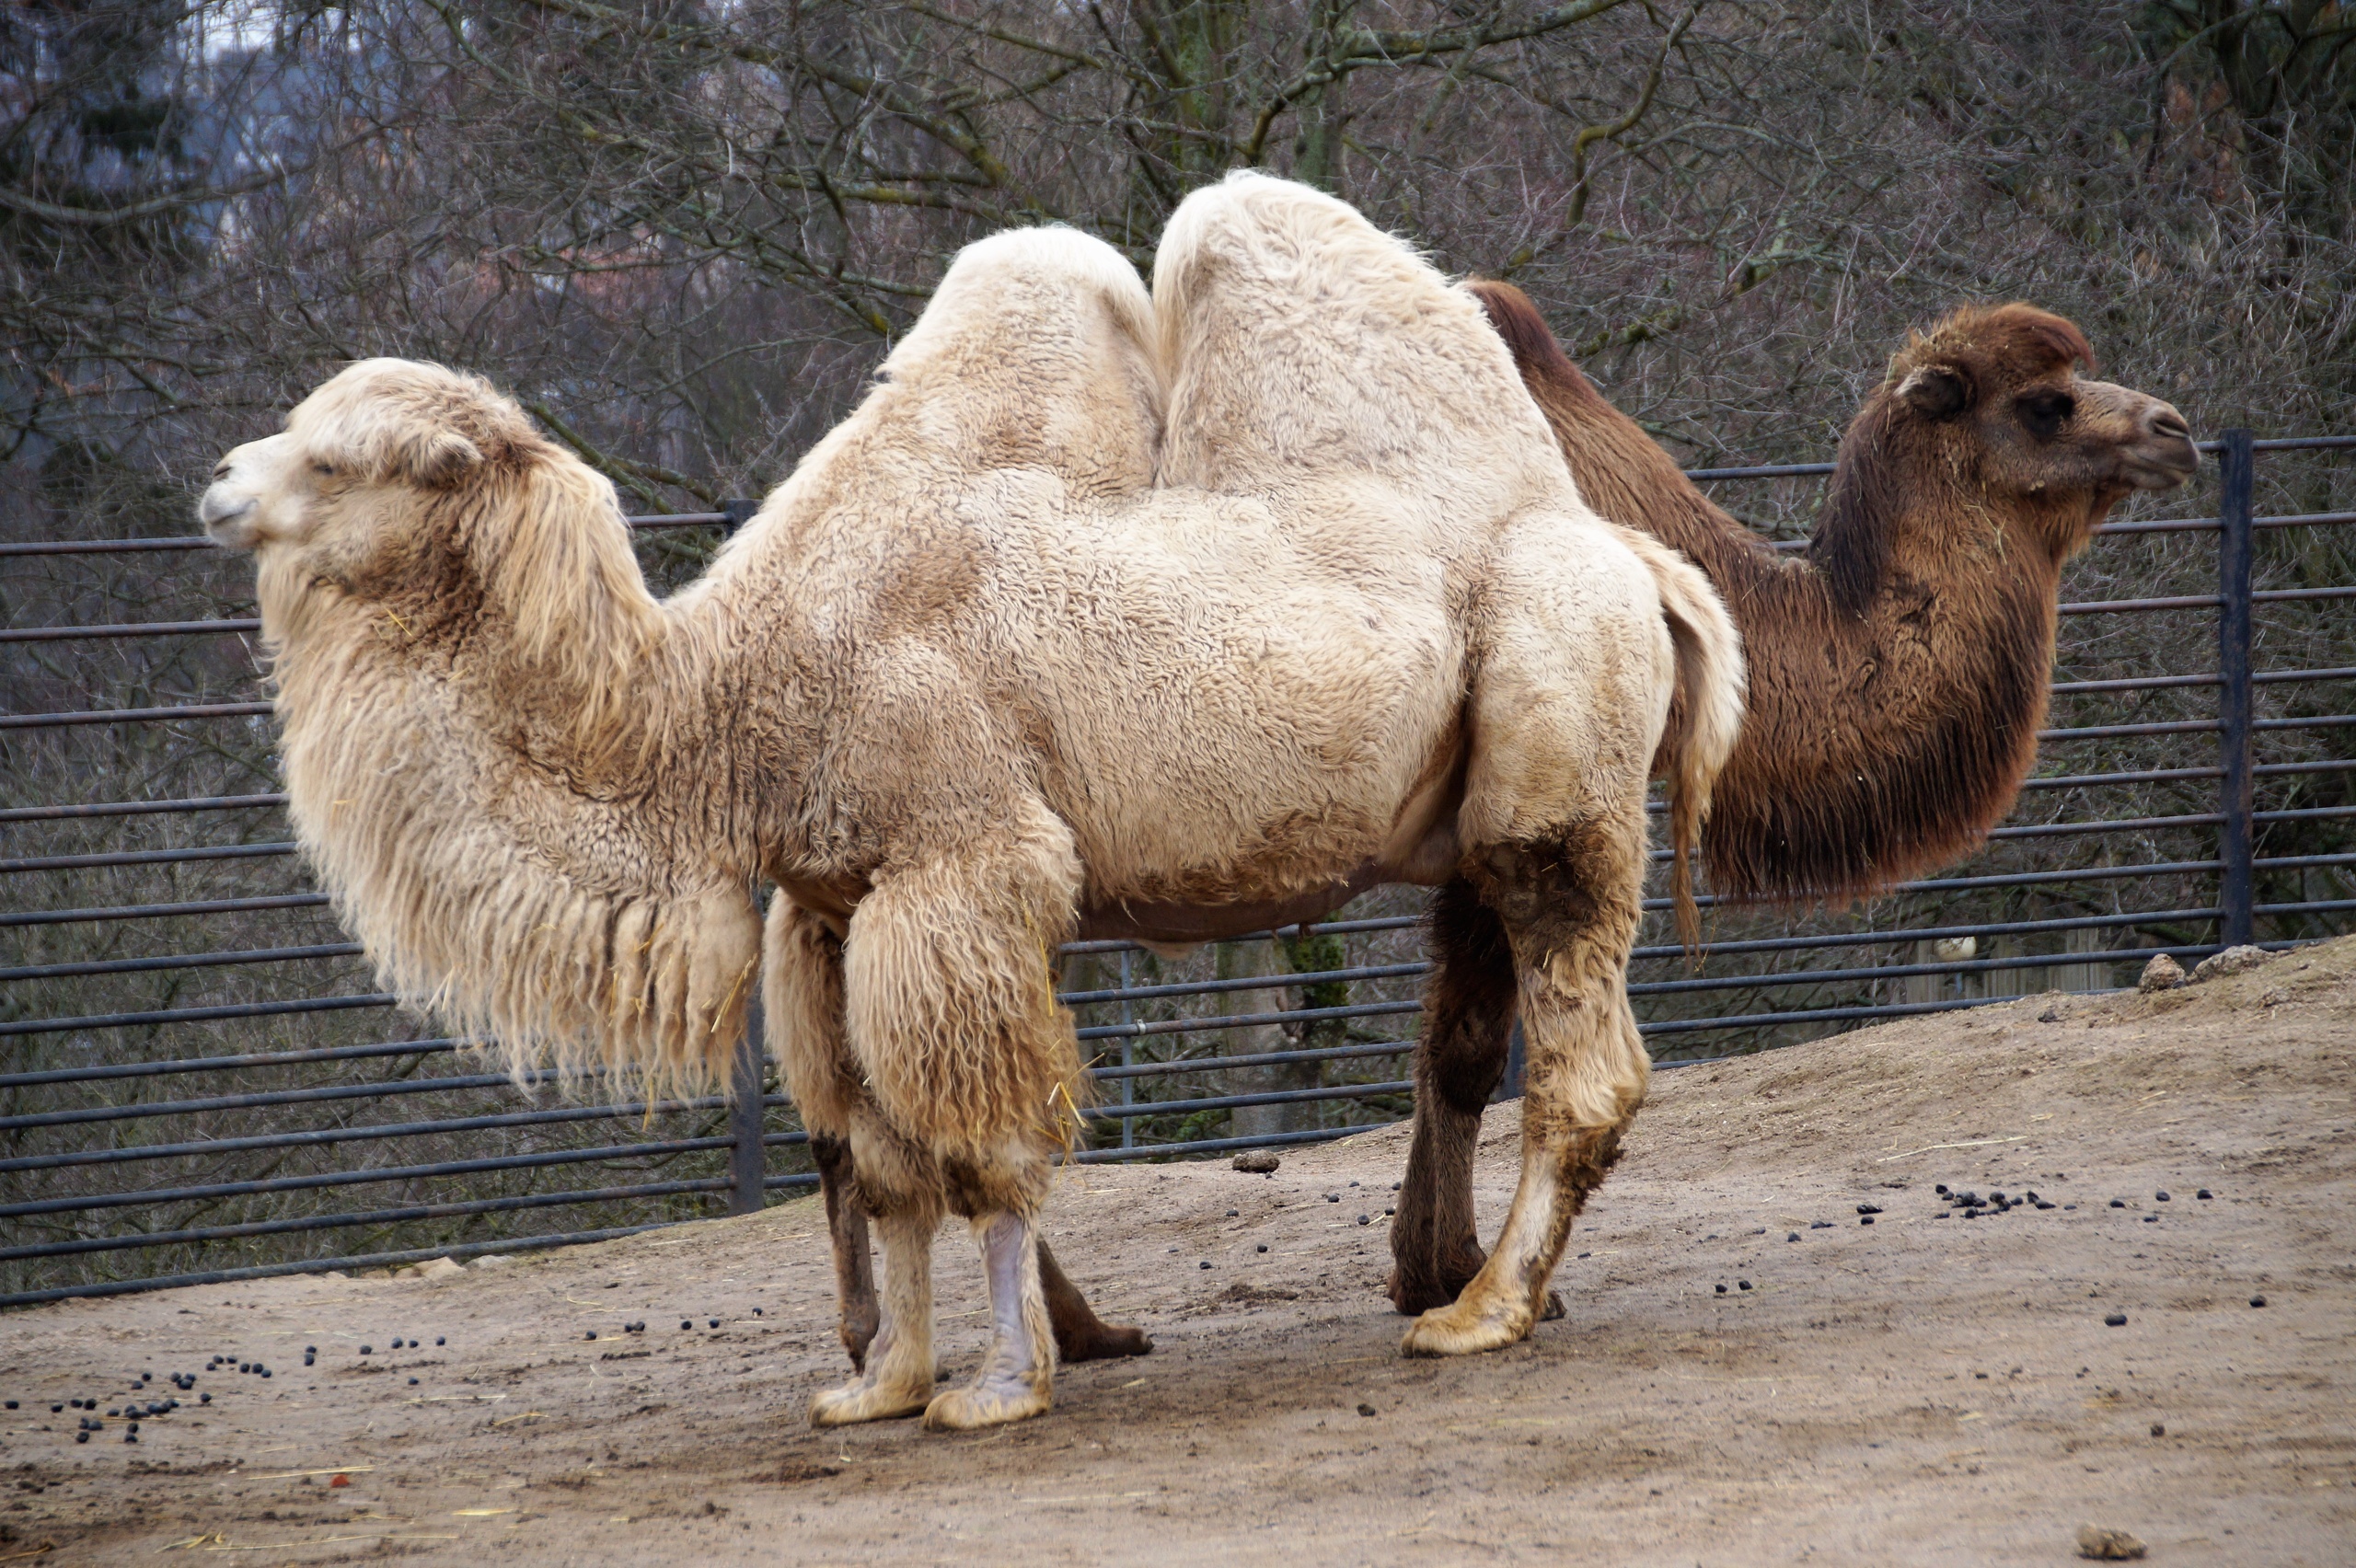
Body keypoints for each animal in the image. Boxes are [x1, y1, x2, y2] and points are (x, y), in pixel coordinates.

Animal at [198, 174, 1752, 1431]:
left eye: (339, 457)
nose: (216, 479)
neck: (726, 700)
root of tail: (1643, 564)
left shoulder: (963, 866)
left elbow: (986, 1150)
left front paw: (1000, 1388)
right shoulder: (827, 908)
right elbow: (882, 1166)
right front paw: (879, 1384)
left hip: (1557, 741)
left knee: (1582, 1038)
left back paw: (1478, 1315)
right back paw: (1492, 1293)